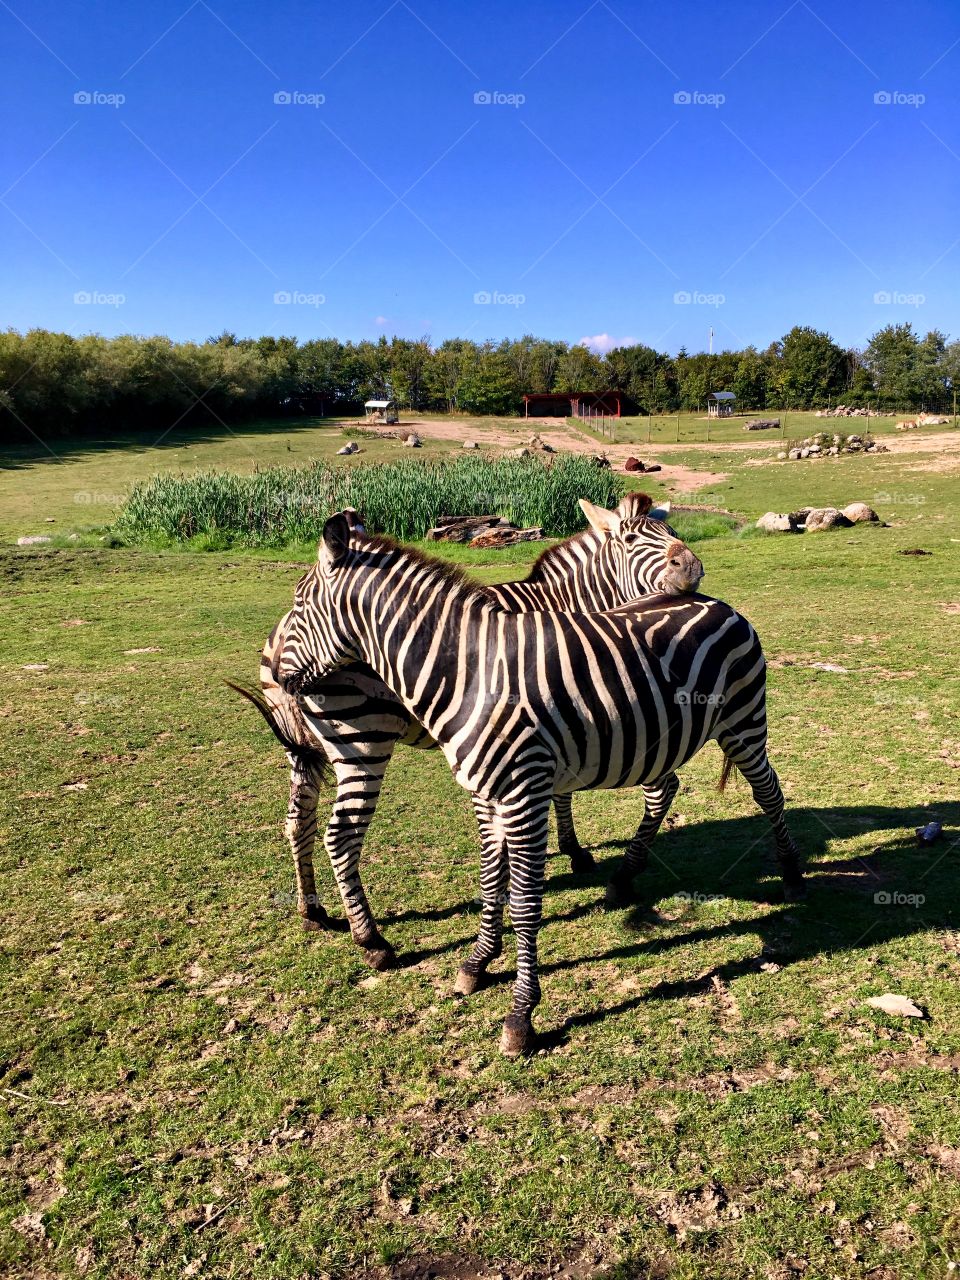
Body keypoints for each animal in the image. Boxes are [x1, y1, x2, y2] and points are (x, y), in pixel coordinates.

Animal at [238, 494, 704, 971]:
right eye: (632, 541)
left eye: (671, 533)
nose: (692, 567)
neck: (564, 604)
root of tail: (279, 644)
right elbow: (570, 793)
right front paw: (575, 854)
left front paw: (556, 852)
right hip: (362, 739)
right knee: (341, 834)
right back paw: (371, 940)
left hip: (307, 748)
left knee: (298, 822)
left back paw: (312, 910)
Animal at [275, 512, 804, 1056]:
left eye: (298, 604)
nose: (277, 673)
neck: (468, 675)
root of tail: (715, 601)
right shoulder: (486, 795)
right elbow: (492, 882)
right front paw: (478, 963)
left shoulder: (524, 794)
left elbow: (526, 902)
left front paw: (520, 1015)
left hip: (743, 723)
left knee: (768, 792)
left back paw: (790, 872)